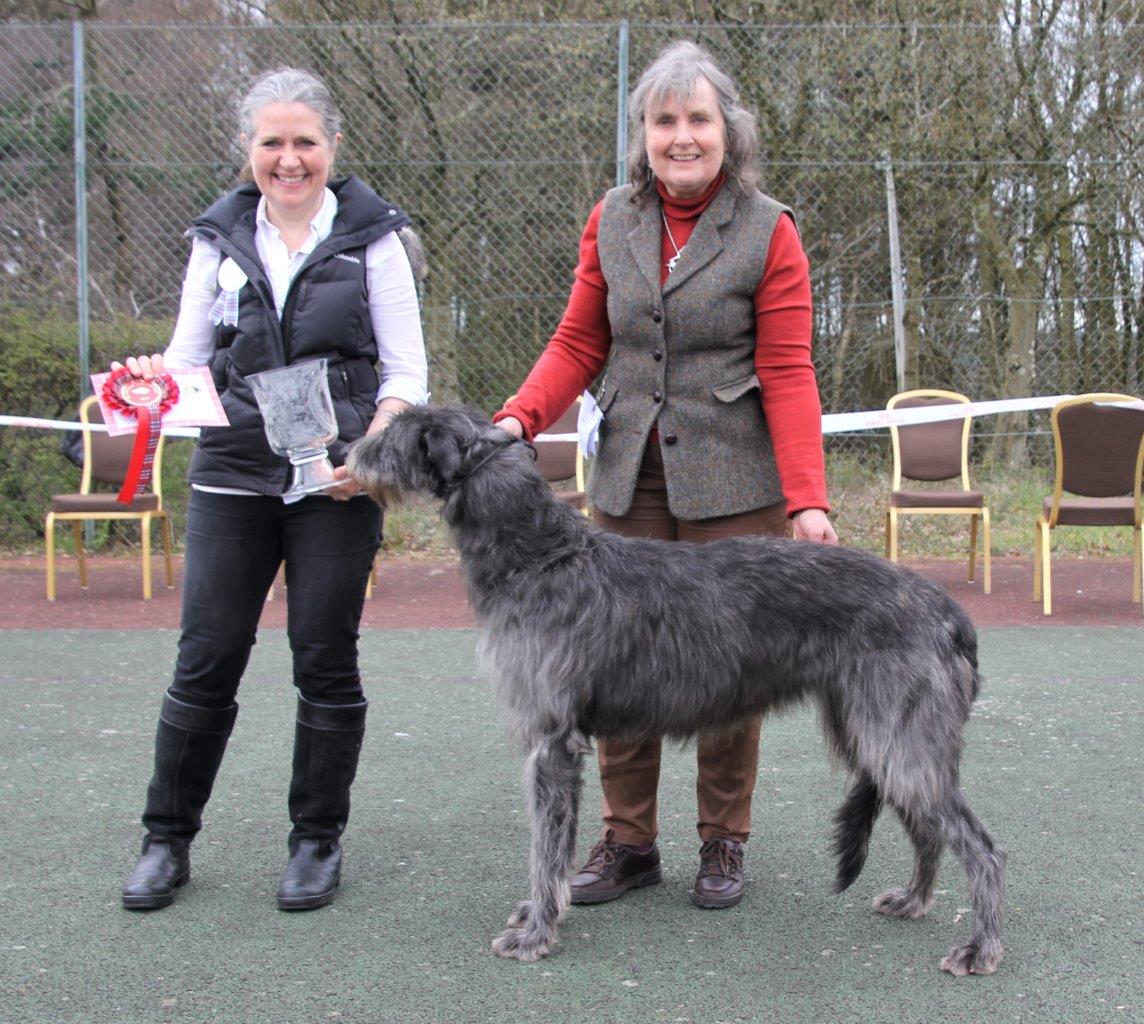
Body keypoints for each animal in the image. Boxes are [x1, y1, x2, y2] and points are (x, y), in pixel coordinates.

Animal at [345, 407, 1002, 979]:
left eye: (392, 434)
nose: (341, 452)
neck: (542, 556)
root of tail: (949, 611)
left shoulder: (552, 744)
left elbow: (544, 849)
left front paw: (536, 933)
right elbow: (554, 847)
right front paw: (539, 916)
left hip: (901, 738)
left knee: (980, 844)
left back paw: (980, 947)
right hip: (877, 736)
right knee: (927, 827)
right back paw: (914, 900)